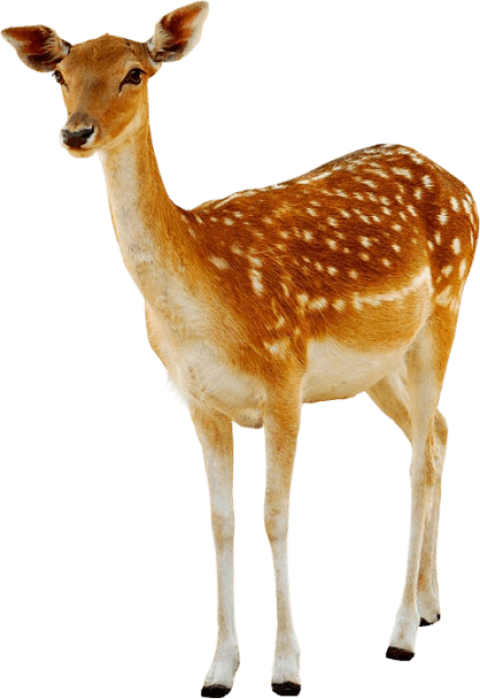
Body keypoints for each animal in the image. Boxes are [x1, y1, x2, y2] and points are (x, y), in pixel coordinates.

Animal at [1, 1, 478, 697]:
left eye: (135, 73)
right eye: (61, 74)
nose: (76, 132)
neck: (206, 306)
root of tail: (460, 183)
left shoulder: (285, 381)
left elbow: (274, 517)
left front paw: (287, 669)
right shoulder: (200, 401)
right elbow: (220, 522)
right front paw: (219, 669)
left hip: (444, 312)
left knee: (420, 457)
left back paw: (401, 634)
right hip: (378, 368)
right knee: (438, 432)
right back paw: (430, 605)